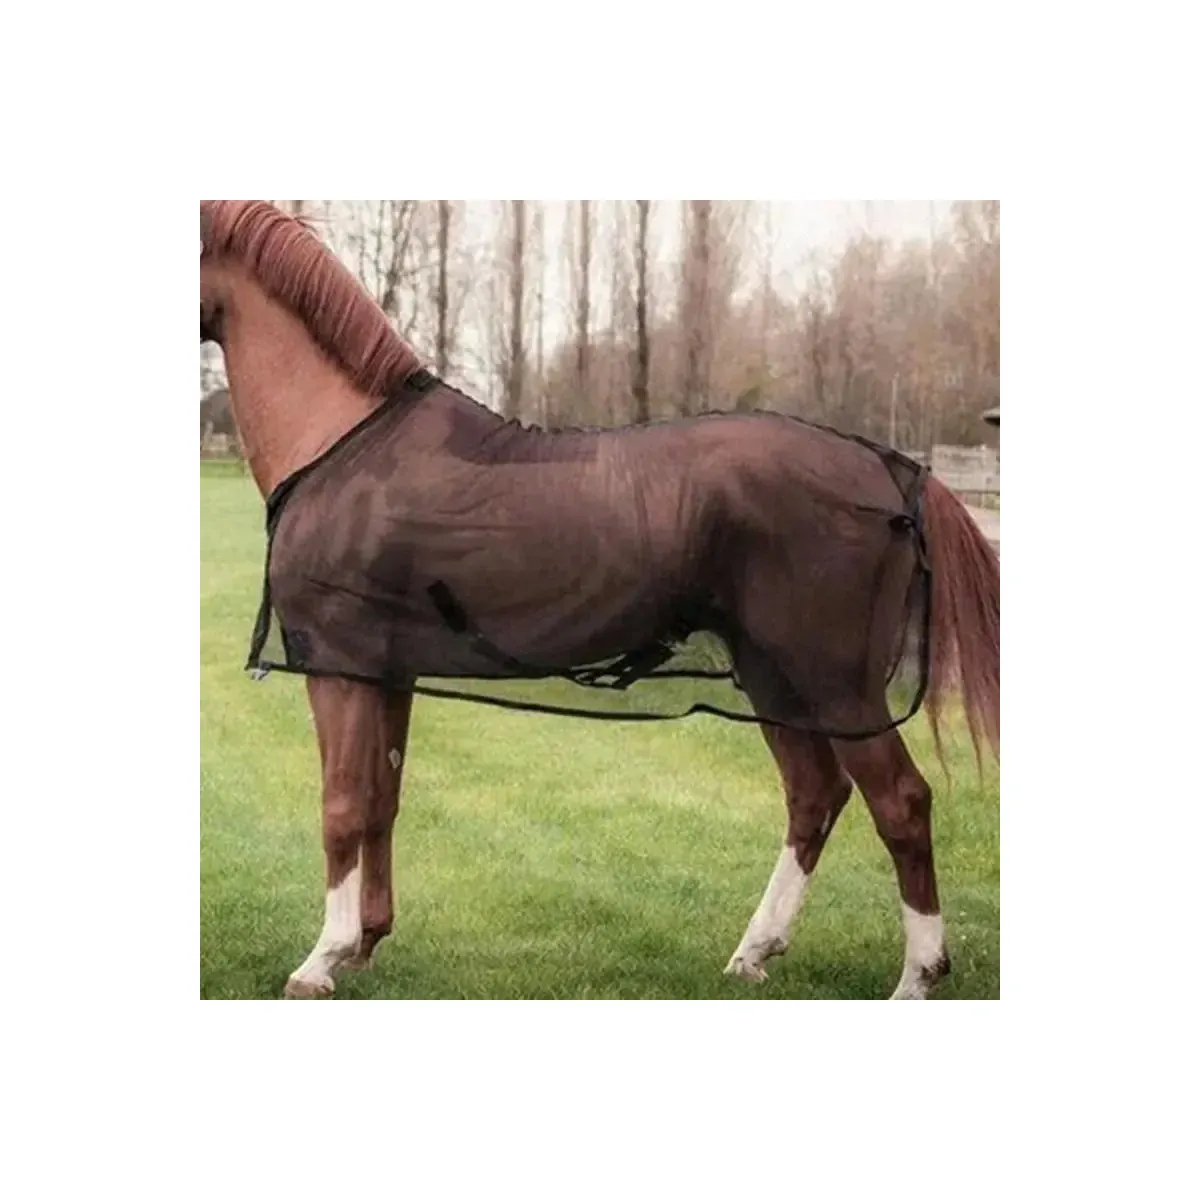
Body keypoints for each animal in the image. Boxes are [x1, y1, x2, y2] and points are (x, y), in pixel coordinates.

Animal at [200, 200, 999, 1000]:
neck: (345, 445)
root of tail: (892, 469)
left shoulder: (339, 667)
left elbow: (340, 803)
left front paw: (321, 959)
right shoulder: (383, 672)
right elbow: (380, 800)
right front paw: (366, 941)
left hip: (835, 683)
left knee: (900, 801)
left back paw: (917, 975)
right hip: (773, 675)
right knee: (815, 794)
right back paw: (753, 952)